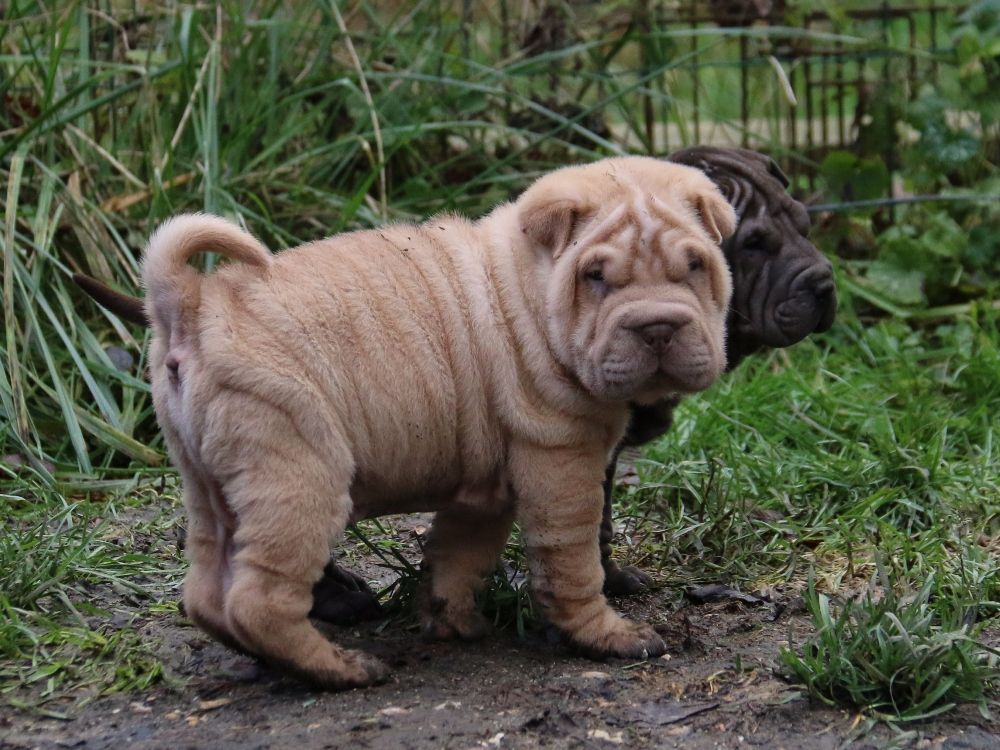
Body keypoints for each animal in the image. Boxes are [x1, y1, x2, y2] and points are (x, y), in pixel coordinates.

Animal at [128, 157, 735, 688]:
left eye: (696, 266)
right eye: (595, 277)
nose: (658, 327)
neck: (526, 294)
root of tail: (189, 304)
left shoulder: (485, 491)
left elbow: (458, 557)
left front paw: (452, 622)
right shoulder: (562, 464)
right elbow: (572, 563)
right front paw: (606, 635)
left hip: (209, 486)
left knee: (207, 592)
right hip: (297, 476)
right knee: (259, 599)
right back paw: (337, 669)